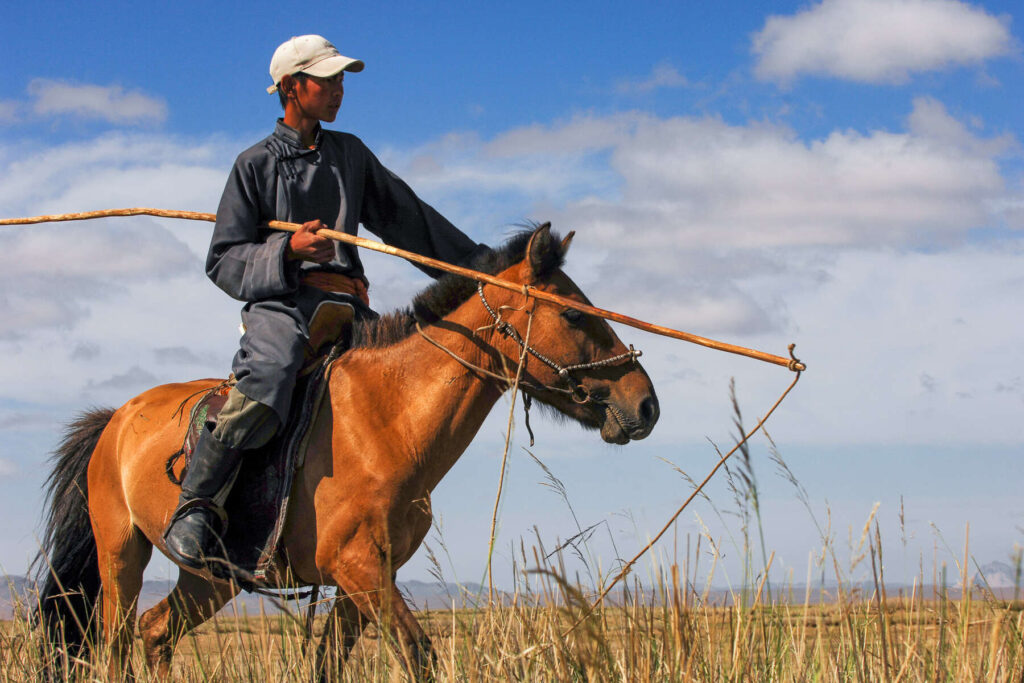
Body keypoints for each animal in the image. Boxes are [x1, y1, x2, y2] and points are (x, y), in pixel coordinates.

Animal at [32, 224, 659, 679]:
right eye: (573, 313)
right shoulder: (358, 568)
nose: (646, 404)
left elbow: (330, 663)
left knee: (157, 631)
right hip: (122, 555)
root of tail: (116, 420)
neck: (388, 418)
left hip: (216, 574)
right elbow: (418, 654)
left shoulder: (364, 577)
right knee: (116, 641)